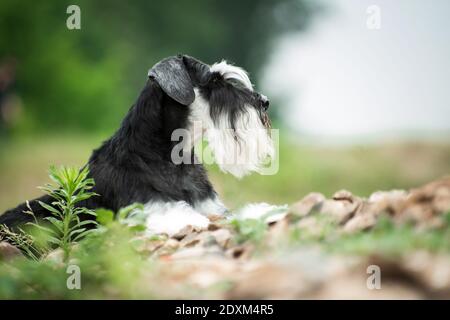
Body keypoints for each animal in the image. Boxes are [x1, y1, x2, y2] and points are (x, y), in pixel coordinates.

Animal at [0, 54, 274, 235]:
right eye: (214, 81)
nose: (265, 102)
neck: (170, 156)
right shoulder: (149, 211)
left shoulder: (210, 205)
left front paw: (262, 211)